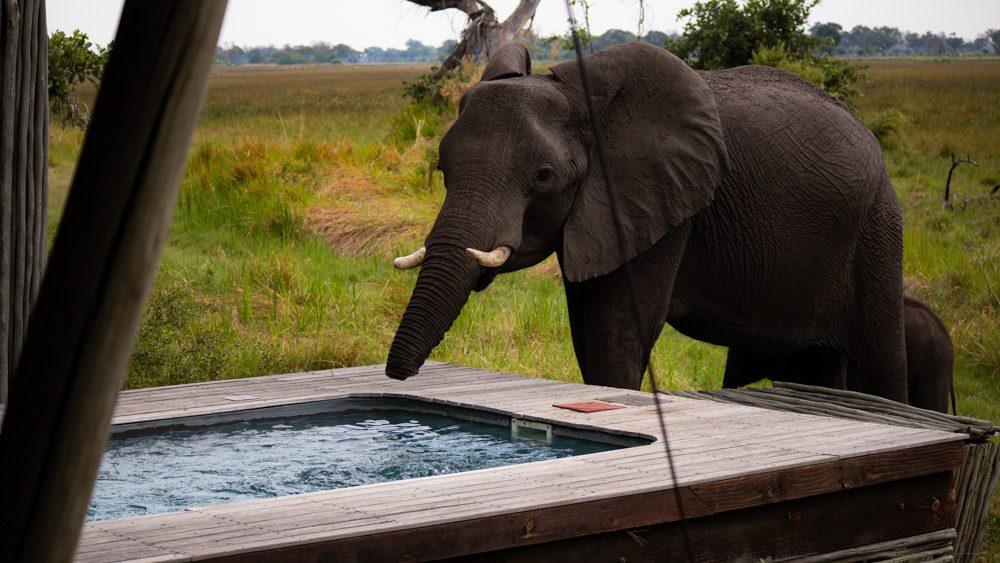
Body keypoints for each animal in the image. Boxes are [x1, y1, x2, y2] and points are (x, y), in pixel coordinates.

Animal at [385, 42, 908, 403]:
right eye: (442, 169)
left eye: (543, 176)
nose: (395, 377)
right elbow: (591, 332)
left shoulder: (659, 200)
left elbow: (615, 332)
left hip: (878, 225)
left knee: (882, 364)